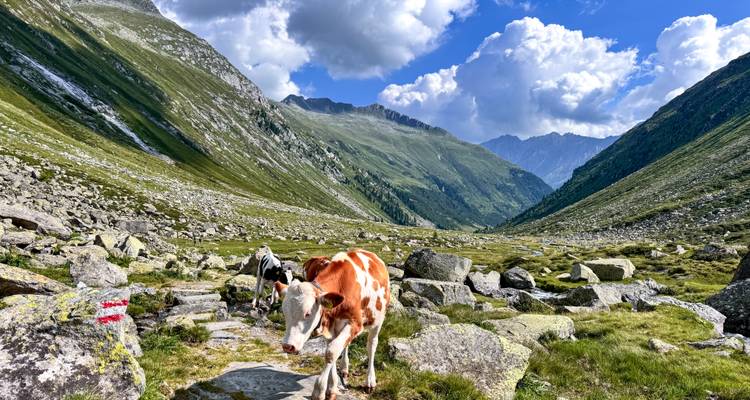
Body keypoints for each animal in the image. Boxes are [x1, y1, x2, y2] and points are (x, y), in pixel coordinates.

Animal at [275, 249, 390, 400]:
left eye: (308, 313)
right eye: (284, 312)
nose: (288, 346)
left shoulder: (355, 323)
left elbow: (331, 352)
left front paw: (319, 390)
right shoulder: (330, 326)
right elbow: (333, 352)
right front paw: (331, 387)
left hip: (378, 319)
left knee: (371, 345)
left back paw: (369, 381)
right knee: (346, 346)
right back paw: (344, 368)